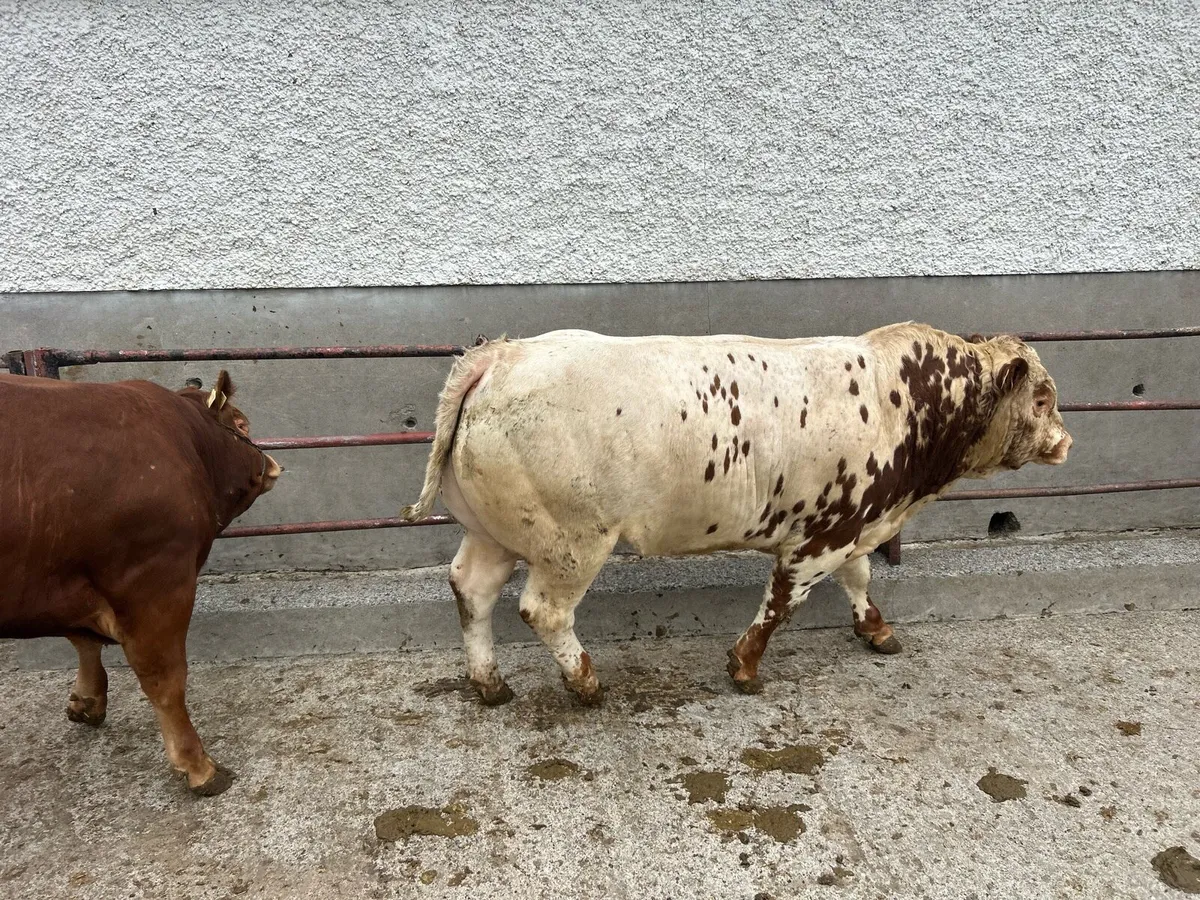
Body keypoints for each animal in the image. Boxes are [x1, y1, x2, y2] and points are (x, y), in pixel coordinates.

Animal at [0, 371, 282, 796]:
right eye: (242, 424)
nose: (273, 465)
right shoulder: (155, 581)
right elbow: (164, 678)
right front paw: (199, 767)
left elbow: (83, 641)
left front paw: (87, 701)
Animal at [401, 324, 1072, 705]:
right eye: (1041, 398)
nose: (1066, 442)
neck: (904, 397)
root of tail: (501, 356)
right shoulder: (820, 538)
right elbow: (783, 603)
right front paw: (744, 667)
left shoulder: (852, 523)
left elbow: (859, 578)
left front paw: (877, 630)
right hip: (572, 540)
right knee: (543, 610)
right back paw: (586, 683)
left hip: (492, 530)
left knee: (472, 590)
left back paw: (490, 685)